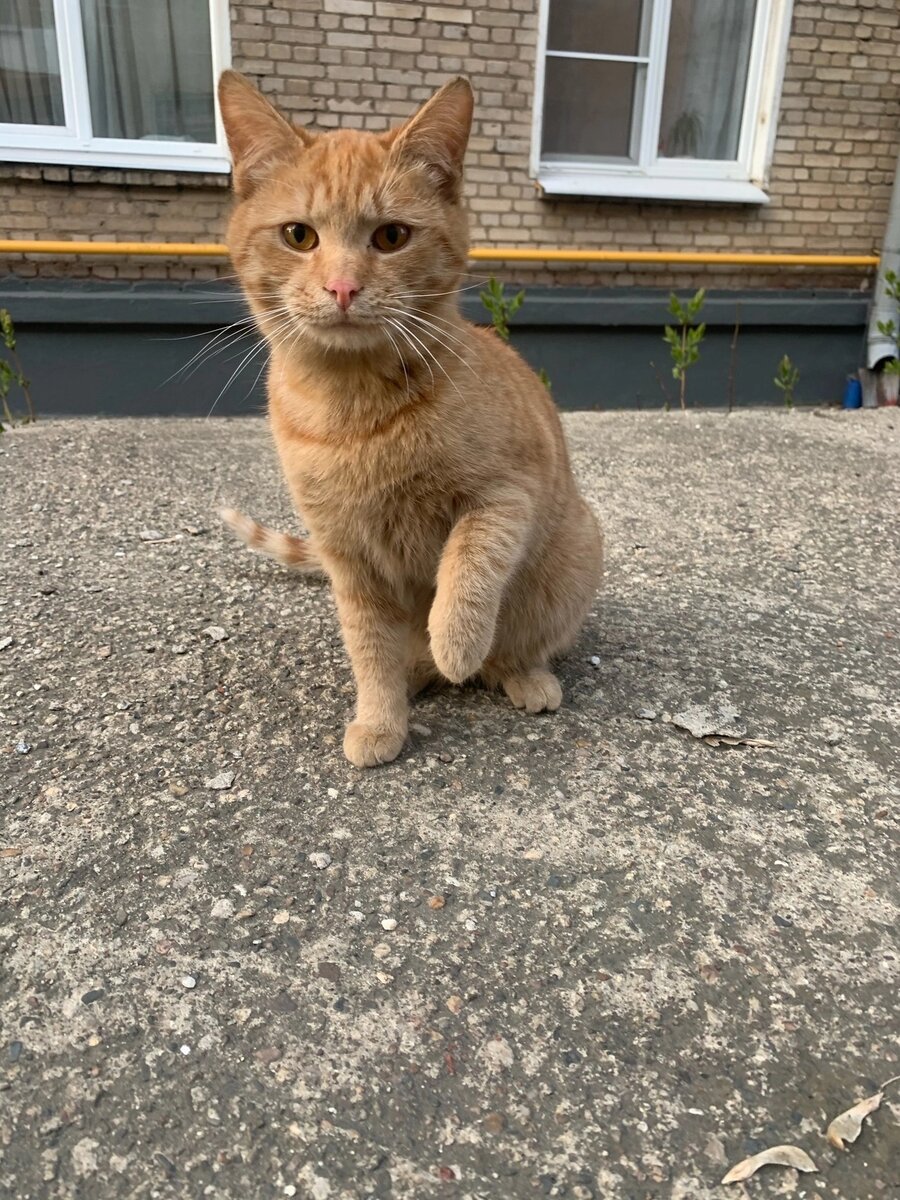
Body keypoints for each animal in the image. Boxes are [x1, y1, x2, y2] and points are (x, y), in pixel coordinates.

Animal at [217, 70, 607, 768]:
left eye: (391, 237)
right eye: (299, 236)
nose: (342, 288)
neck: (351, 410)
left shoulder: (506, 495)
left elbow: (468, 572)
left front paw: (456, 643)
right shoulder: (349, 560)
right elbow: (371, 649)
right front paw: (381, 719)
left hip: (575, 553)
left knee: (513, 648)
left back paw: (511, 673)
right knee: (410, 655)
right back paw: (418, 674)